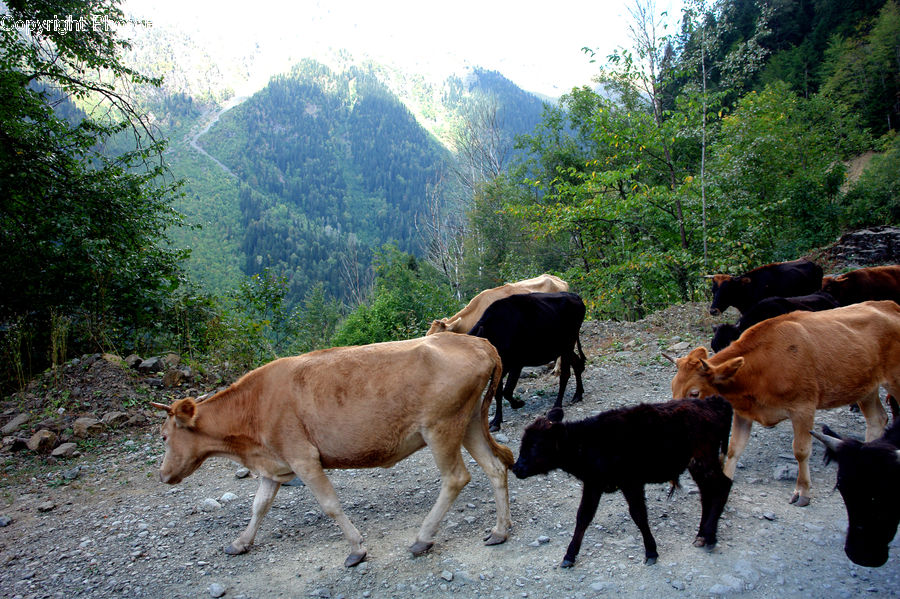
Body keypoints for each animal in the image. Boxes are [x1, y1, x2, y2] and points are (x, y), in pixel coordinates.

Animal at [149, 333, 514, 568]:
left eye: (164, 437)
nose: (162, 475)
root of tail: (478, 342)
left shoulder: (303, 458)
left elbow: (330, 505)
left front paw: (356, 549)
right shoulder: (273, 465)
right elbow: (258, 507)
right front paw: (240, 543)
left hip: (441, 426)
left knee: (455, 477)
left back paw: (423, 538)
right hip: (468, 423)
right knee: (496, 467)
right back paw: (500, 530)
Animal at [468, 291, 586, 431]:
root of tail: (575, 295)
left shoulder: (516, 364)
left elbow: (507, 391)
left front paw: (518, 403)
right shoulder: (501, 369)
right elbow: (498, 392)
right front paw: (496, 421)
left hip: (567, 345)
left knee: (565, 375)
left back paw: (558, 404)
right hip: (563, 348)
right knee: (578, 364)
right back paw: (578, 395)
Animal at [511, 397, 734, 568]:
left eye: (536, 445)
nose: (516, 468)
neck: (587, 444)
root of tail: (715, 402)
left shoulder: (631, 482)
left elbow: (639, 515)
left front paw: (651, 551)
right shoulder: (593, 484)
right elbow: (583, 517)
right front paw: (569, 555)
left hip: (703, 459)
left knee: (723, 486)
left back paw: (710, 536)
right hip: (698, 464)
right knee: (707, 494)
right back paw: (702, 534)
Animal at [671, 300, 900, 507]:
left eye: (694, 393)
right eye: (673, 387)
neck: (759, 369)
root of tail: (890, 305)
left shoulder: (803, 408)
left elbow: (801, 450)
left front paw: (803, 492)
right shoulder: (744, 413)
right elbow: (735, 448)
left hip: (895, 381)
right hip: (866, 387)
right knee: (877, 419)